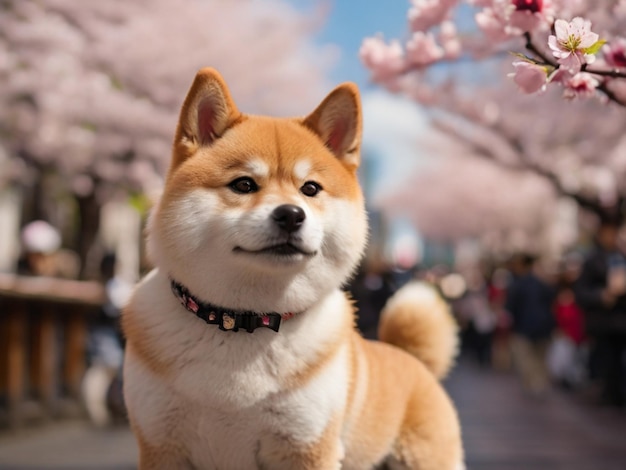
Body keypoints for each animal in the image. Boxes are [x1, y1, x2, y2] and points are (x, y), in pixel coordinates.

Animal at [123, 67, 464, 470]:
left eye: (310, 189)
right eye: (243, 184)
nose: (290, 214)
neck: (241, 321)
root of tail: (413, 360)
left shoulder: (305, 445)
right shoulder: (162, 443)